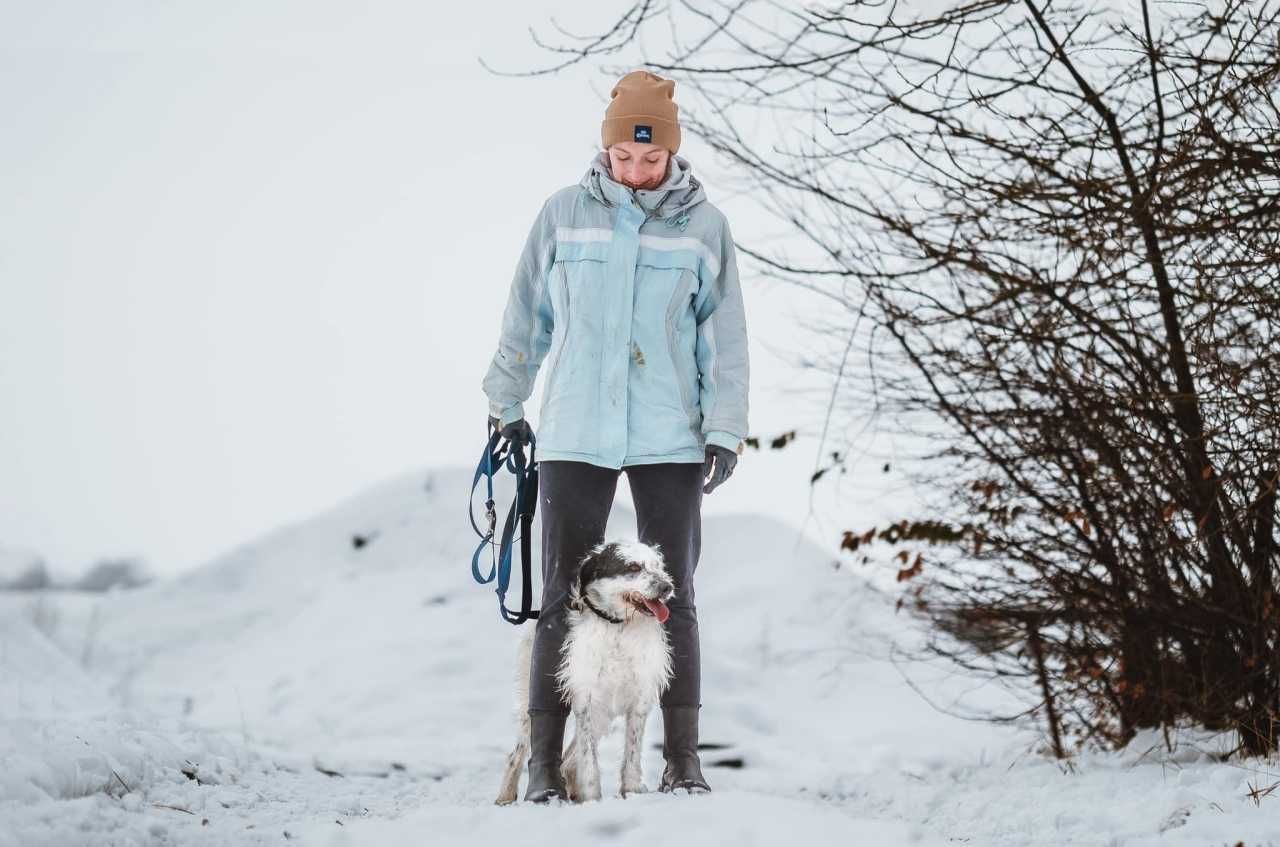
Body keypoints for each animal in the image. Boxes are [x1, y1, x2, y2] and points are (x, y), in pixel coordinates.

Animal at [496, 539, 680, 808]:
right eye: (633, 567)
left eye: (657, 566)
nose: (667, 587)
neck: (617, 628)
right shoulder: (587, 701)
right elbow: (589, 760)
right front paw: (593, 799)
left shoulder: (638, 703)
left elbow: (631, 754)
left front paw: (631, 793)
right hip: (531, 706)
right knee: (518, 753)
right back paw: (506, 796)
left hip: (603, 717)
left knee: (568, 758)